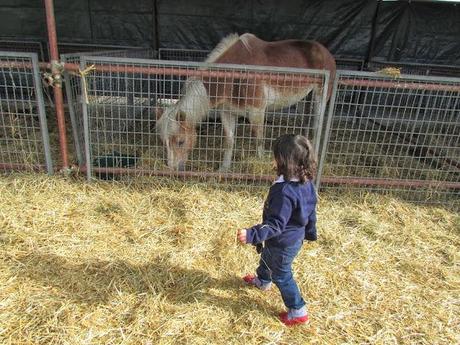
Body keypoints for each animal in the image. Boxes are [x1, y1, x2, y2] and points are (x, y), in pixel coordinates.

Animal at [156, 33, 336, 171]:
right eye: (163, 142)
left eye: (180, 141)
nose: (172, 169)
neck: (234, 75)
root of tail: (324, 51)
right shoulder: (227, 113)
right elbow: (229, 141)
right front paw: (224, 168)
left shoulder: (257, 111)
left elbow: (259, 138)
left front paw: (260, 163)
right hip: (303, 98)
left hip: (320, 96)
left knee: (317, 125)